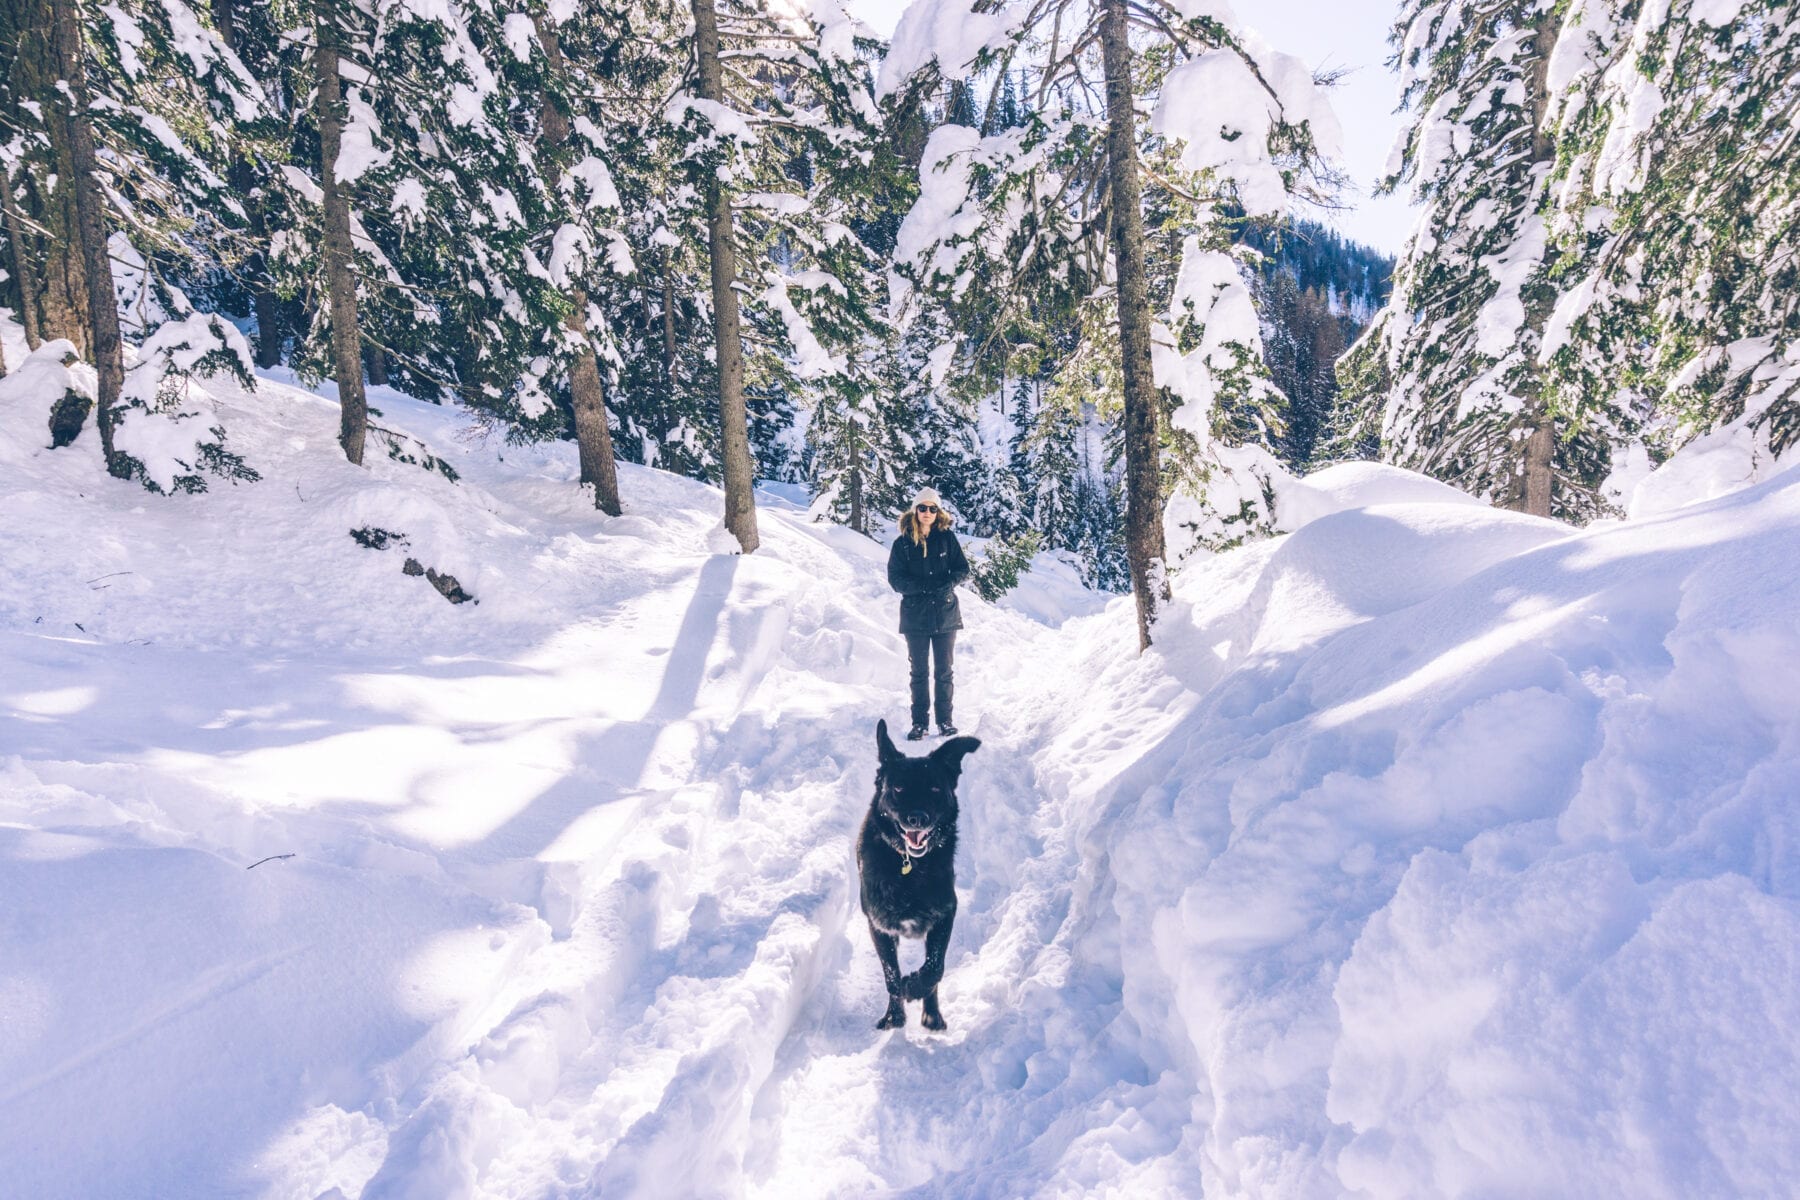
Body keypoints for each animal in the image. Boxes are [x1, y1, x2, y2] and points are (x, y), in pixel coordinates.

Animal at [860, 719, 986, 1029]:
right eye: (899, 788)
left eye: (935, 789)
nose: (917, 818)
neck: (910, 868)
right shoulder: (879, 925)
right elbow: (891, 975)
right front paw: (895, 1015)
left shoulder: (945, 914)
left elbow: (935, 968)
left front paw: (916, 990)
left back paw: (933, 1014)